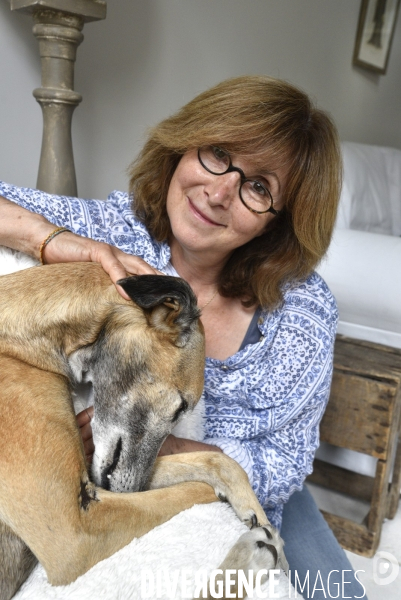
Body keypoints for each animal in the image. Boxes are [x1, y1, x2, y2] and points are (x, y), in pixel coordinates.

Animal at [0, 260, 284, 600]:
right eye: (181, 406)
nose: (130, 490)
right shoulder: (74, 533)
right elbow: (195, 489)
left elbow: (218, 461)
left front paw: (259, 514)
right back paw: (254, 557)